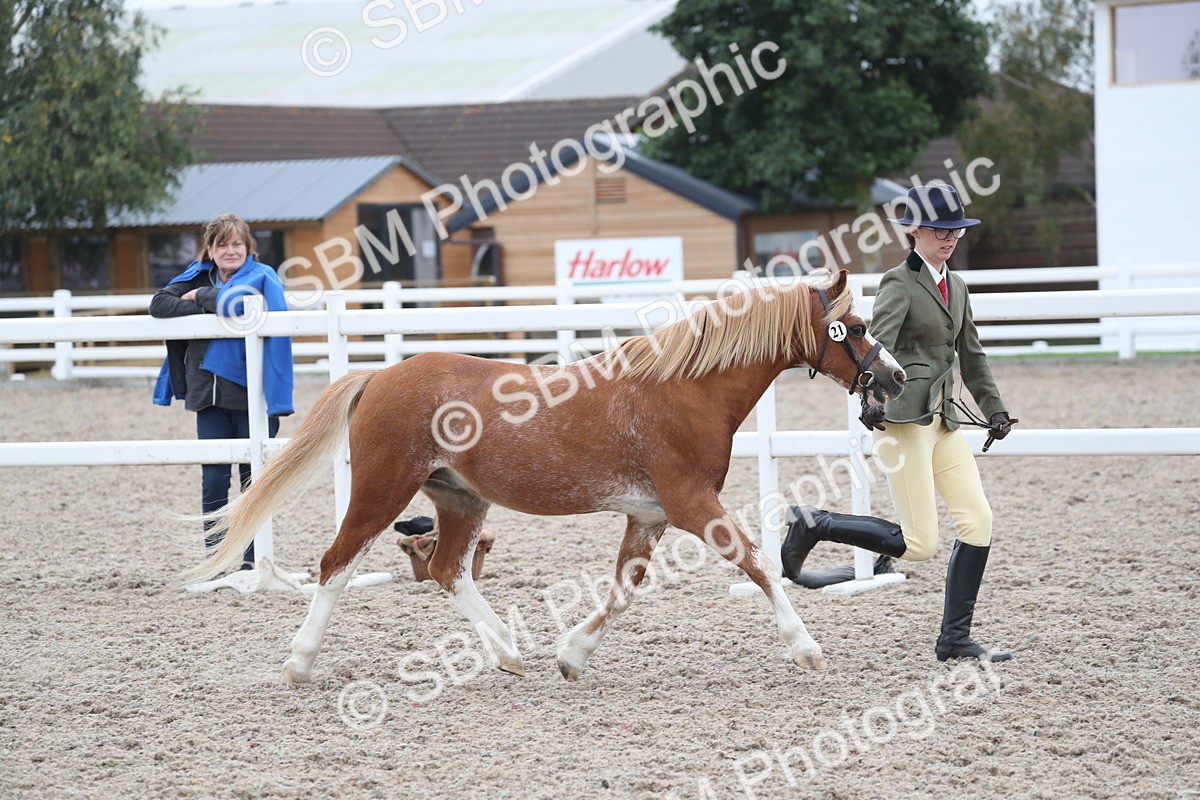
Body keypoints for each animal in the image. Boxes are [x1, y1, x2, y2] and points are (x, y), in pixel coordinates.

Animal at [188, 268, 906, 684]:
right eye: (854, 327)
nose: (895, 377)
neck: (684, 390)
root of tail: (382, 375)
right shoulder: (691, 504)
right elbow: (759, 565)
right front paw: (805, 647)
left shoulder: (649, 515)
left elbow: (623, 590)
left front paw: (571, 655)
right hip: (381, 490)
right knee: (337, 562)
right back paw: (299, 663)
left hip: (460, 500)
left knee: (447, 569)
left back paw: (508, 652)